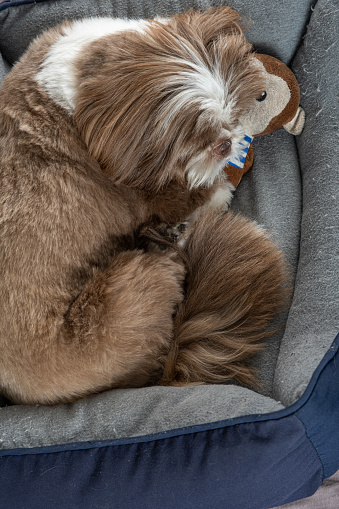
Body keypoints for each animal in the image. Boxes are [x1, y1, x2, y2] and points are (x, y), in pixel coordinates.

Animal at [0, 6, 288, 404]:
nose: (227, 144)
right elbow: (194, 194)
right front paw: (219, 190)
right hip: (136, 283)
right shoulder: (151, 192)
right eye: (199, 144)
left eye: (232, 116)